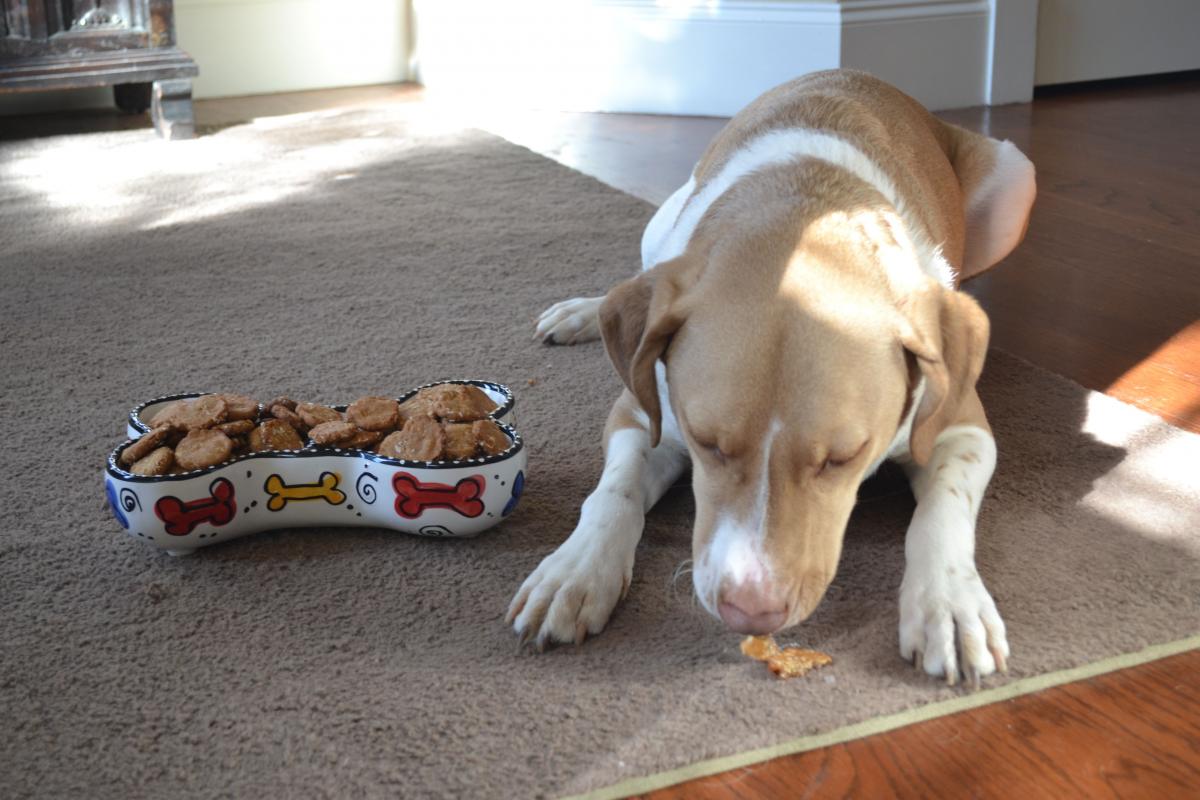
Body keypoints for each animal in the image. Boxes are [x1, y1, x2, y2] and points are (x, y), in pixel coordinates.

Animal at [504, 70, 1032, 690]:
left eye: (844, 458)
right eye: (706, 442)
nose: (750, 612)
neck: (801, 216)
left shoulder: (962, 429)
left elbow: (942, 510)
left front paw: (948, 603)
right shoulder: (639, 413)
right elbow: (614, 491)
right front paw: (576, 570)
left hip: (1015, 176)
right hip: (662, 223)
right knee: (639, 278)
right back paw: (587, 312)